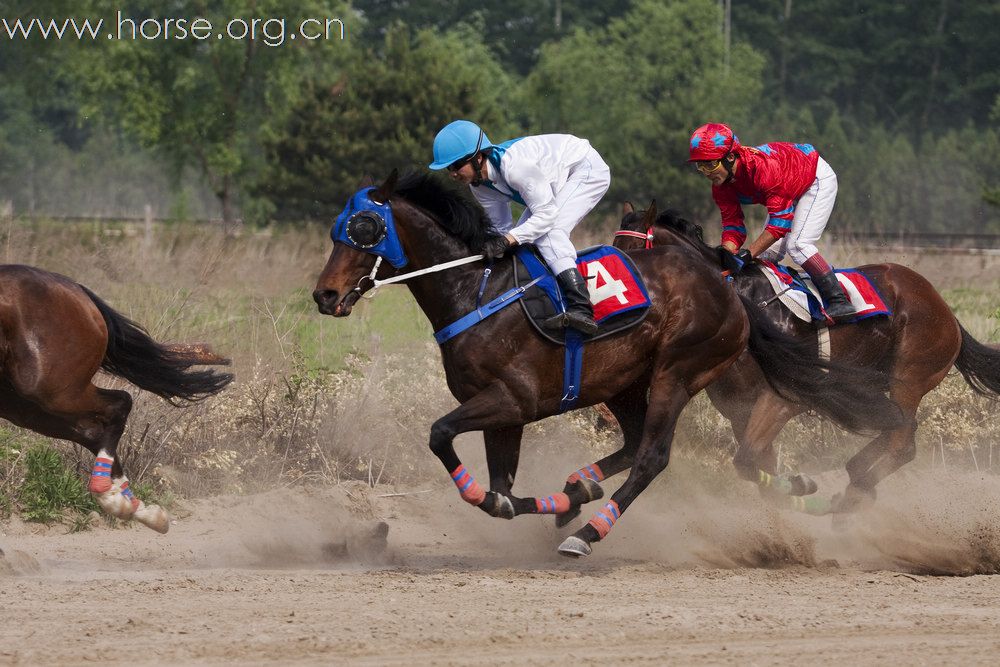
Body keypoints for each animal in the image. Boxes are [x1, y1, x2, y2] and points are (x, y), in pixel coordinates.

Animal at [0, 264, 232, 532]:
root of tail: (78, 289)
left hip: (49, 389)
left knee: (119, 404)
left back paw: (112, 497)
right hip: (21, 402)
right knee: (91, 431)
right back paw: (135, 506)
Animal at [312, 170, 900, 556]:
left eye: (364, 227)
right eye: (337, 227)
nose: (325, 295)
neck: (474, 290)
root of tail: (729, 288)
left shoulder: (511, 399)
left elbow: (442, 438)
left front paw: (546, 506)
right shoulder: (507, 413)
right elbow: (503, 490)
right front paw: (558, 498)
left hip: (677, 372)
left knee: (652, 458)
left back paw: (588, 533)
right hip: (624, 384)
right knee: (636, 444)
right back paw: (582, 490)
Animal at [612, 201, 1000, 516]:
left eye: (634, 250)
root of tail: (946, 311)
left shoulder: (782, 400)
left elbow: (747, 460)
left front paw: (802, 489)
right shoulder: (739, 409)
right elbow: (754, 467)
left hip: (909, 377)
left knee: (902, 441)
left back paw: (853, 492)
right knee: (900, 432)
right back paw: (854, 480)